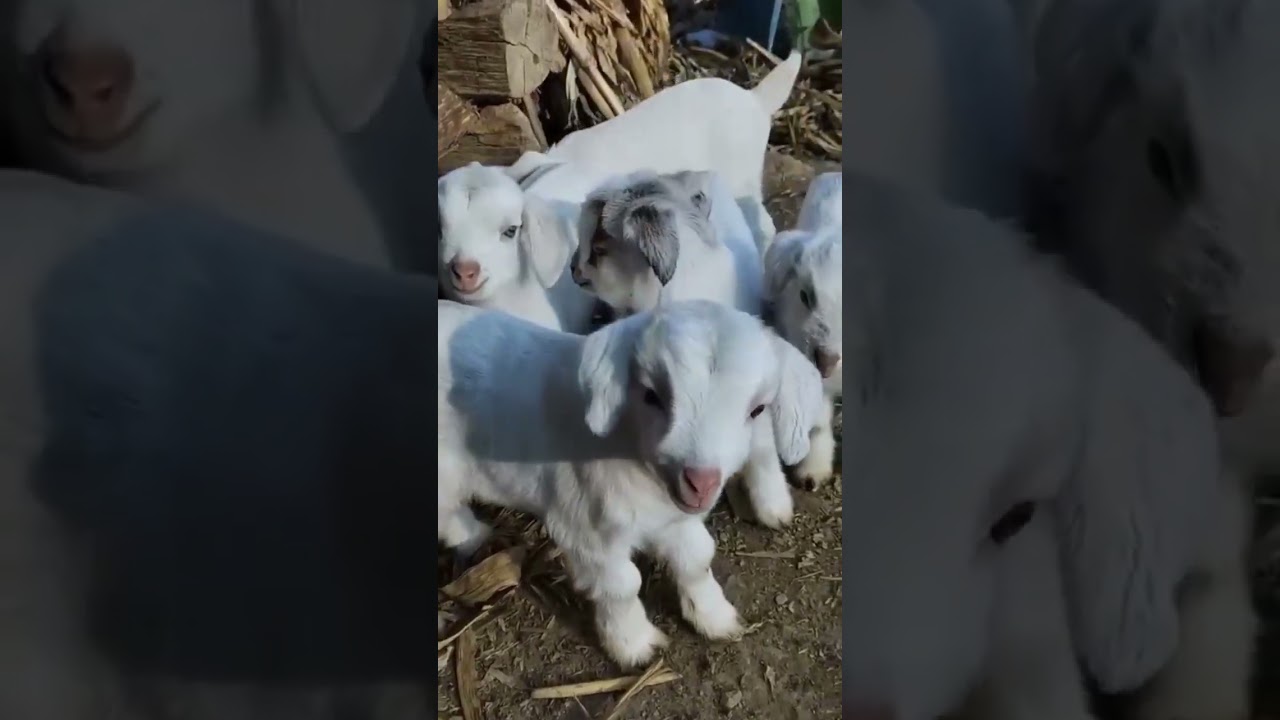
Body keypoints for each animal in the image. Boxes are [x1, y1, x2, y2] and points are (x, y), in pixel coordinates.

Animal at [438, 299, 826, 668]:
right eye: (651, 395)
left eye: (758, 410)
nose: (701, 482)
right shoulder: (585, 527)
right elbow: (621, 586)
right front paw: (634, 645)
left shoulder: (674, 517)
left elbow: (697, 558)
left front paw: (715, 617)